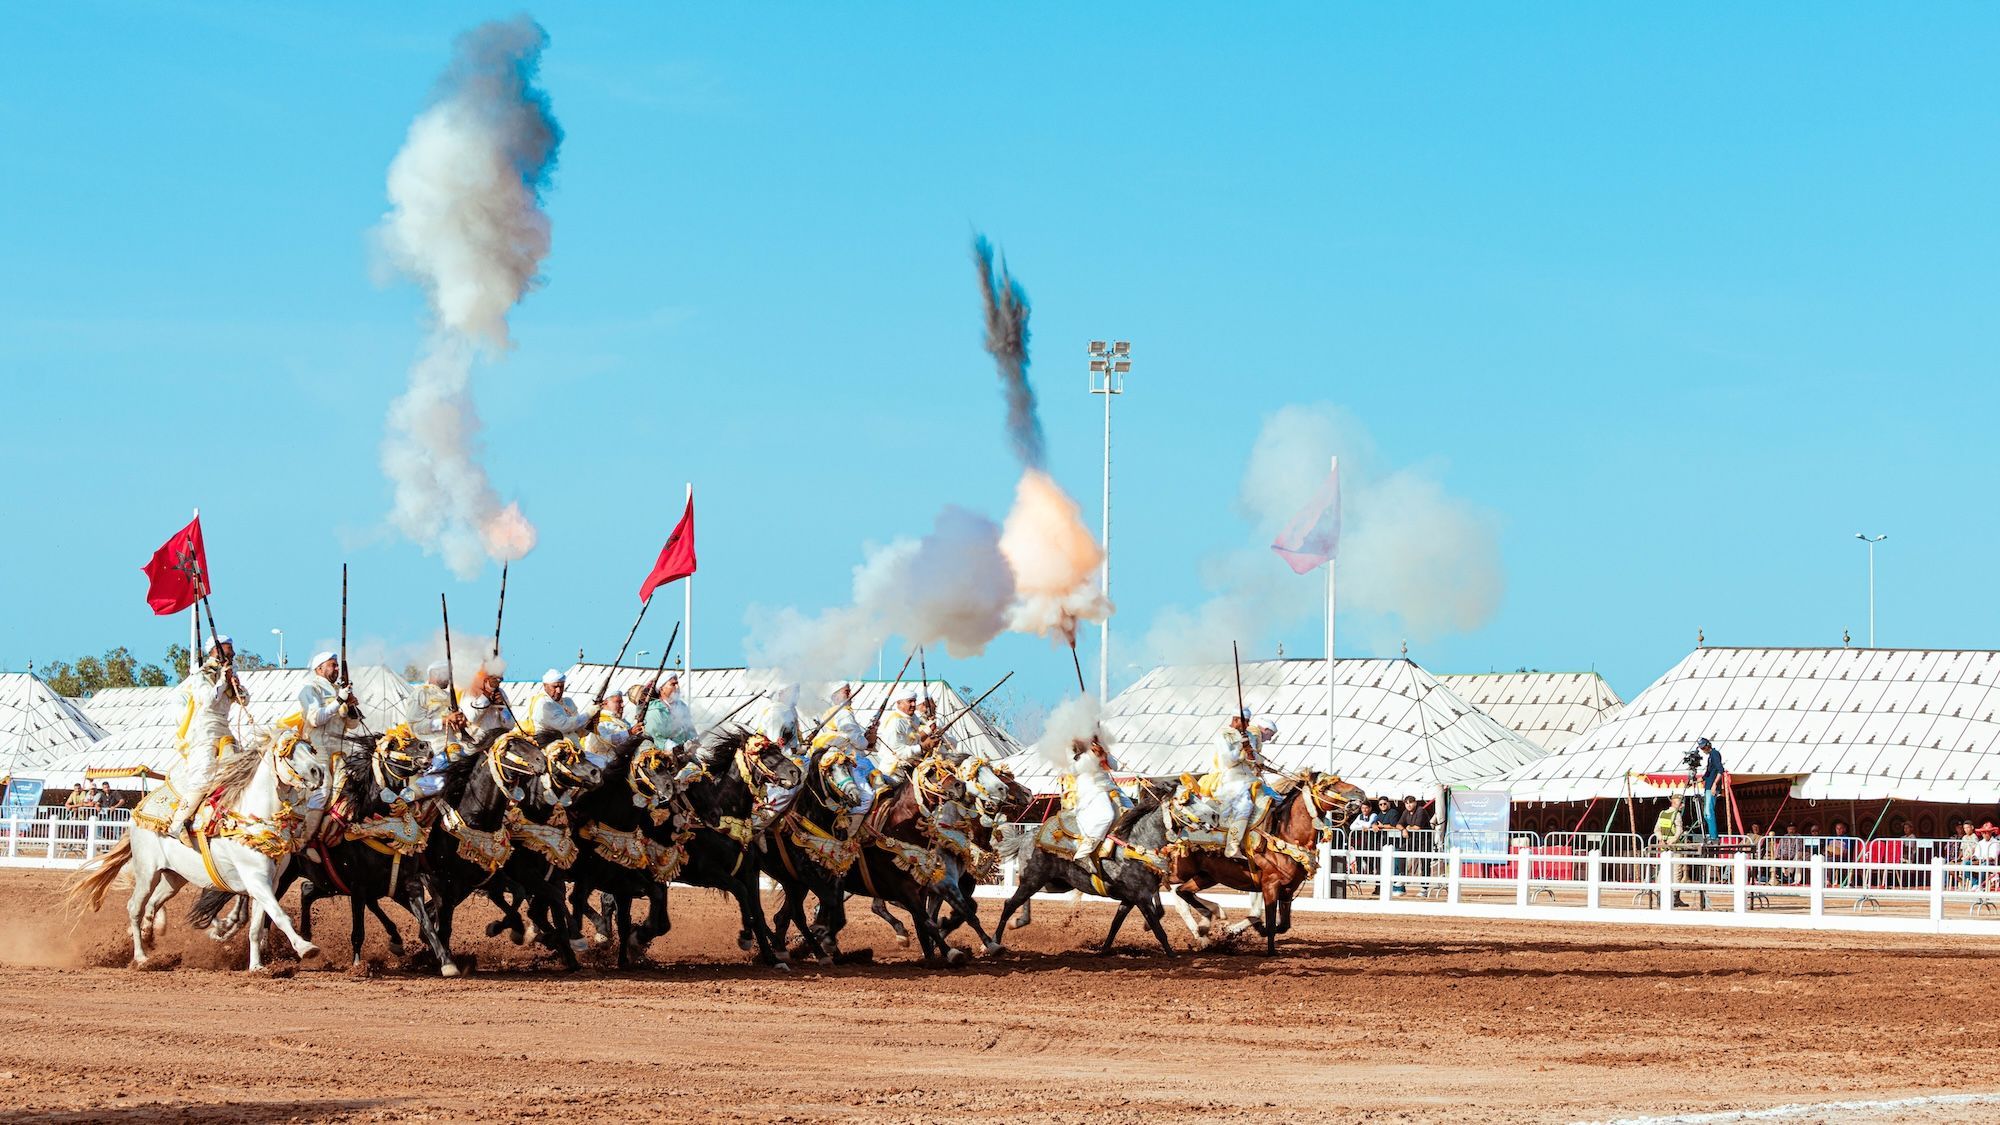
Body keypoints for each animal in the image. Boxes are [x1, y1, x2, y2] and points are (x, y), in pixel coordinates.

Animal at [72, 720, 326, 968]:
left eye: (310, 748)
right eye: (287, 752)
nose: (319, 772)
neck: (252, 821)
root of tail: (137, 812)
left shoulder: (270, 883)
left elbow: (256, 926)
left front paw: (256, 967)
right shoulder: (256, 880)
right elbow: (279, 916)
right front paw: (306, 948)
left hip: (173, 878)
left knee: (153, 904)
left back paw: (150, 934)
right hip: (147, 873)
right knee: (135, 907)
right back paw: (141, 957)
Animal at [1168, 768, 1368, 944]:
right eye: (1326, 786)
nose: (1361, 793)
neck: (1284, 836)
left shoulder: (1287, 888)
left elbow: (1280, 924)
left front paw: (1239, 929)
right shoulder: (1269, 884)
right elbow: (1267, 920)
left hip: (1206, 876)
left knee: (1183, 892)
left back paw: (1211, 919)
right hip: (1179, 873)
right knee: (1177, 898)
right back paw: (1202, 934)